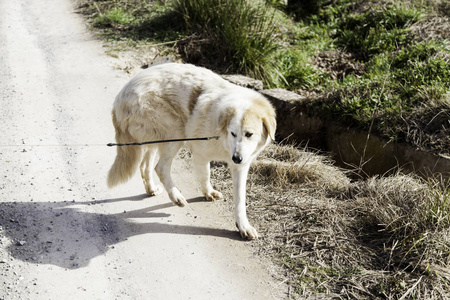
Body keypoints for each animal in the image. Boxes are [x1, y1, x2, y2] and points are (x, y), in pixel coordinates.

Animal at [107, 63, 276, 239]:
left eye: (249, 134)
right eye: (233, 133)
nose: (236, 158)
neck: (223, 138)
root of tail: (120, 97)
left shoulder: (241, 167)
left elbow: (240, 199)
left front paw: (243, 226)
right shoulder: (201, 153)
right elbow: (205, 175)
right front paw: (208, 192)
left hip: (156, 139)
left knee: (145, 166)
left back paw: (152, 189)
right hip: (176, 130)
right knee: (160, 168)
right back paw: (176, 196)